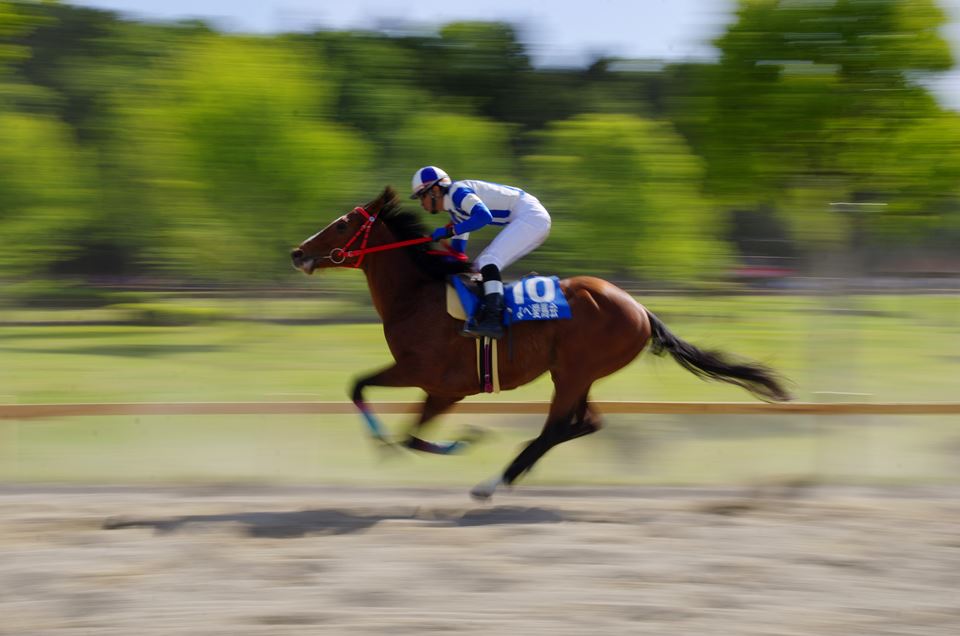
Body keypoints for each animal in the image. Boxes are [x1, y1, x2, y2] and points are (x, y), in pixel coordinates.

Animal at [294, 186, 796, 500]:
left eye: (342, 225)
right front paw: (449, 442)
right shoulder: (442, 389)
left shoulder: (429, 376)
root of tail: (639, 308)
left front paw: (445, 442)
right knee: (587, 421)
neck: (418, 295)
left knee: (556, 427)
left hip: (573, 371)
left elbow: (364, 392)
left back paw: (493, 482)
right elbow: (407, 432)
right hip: (578, 373)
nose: (298, 252)